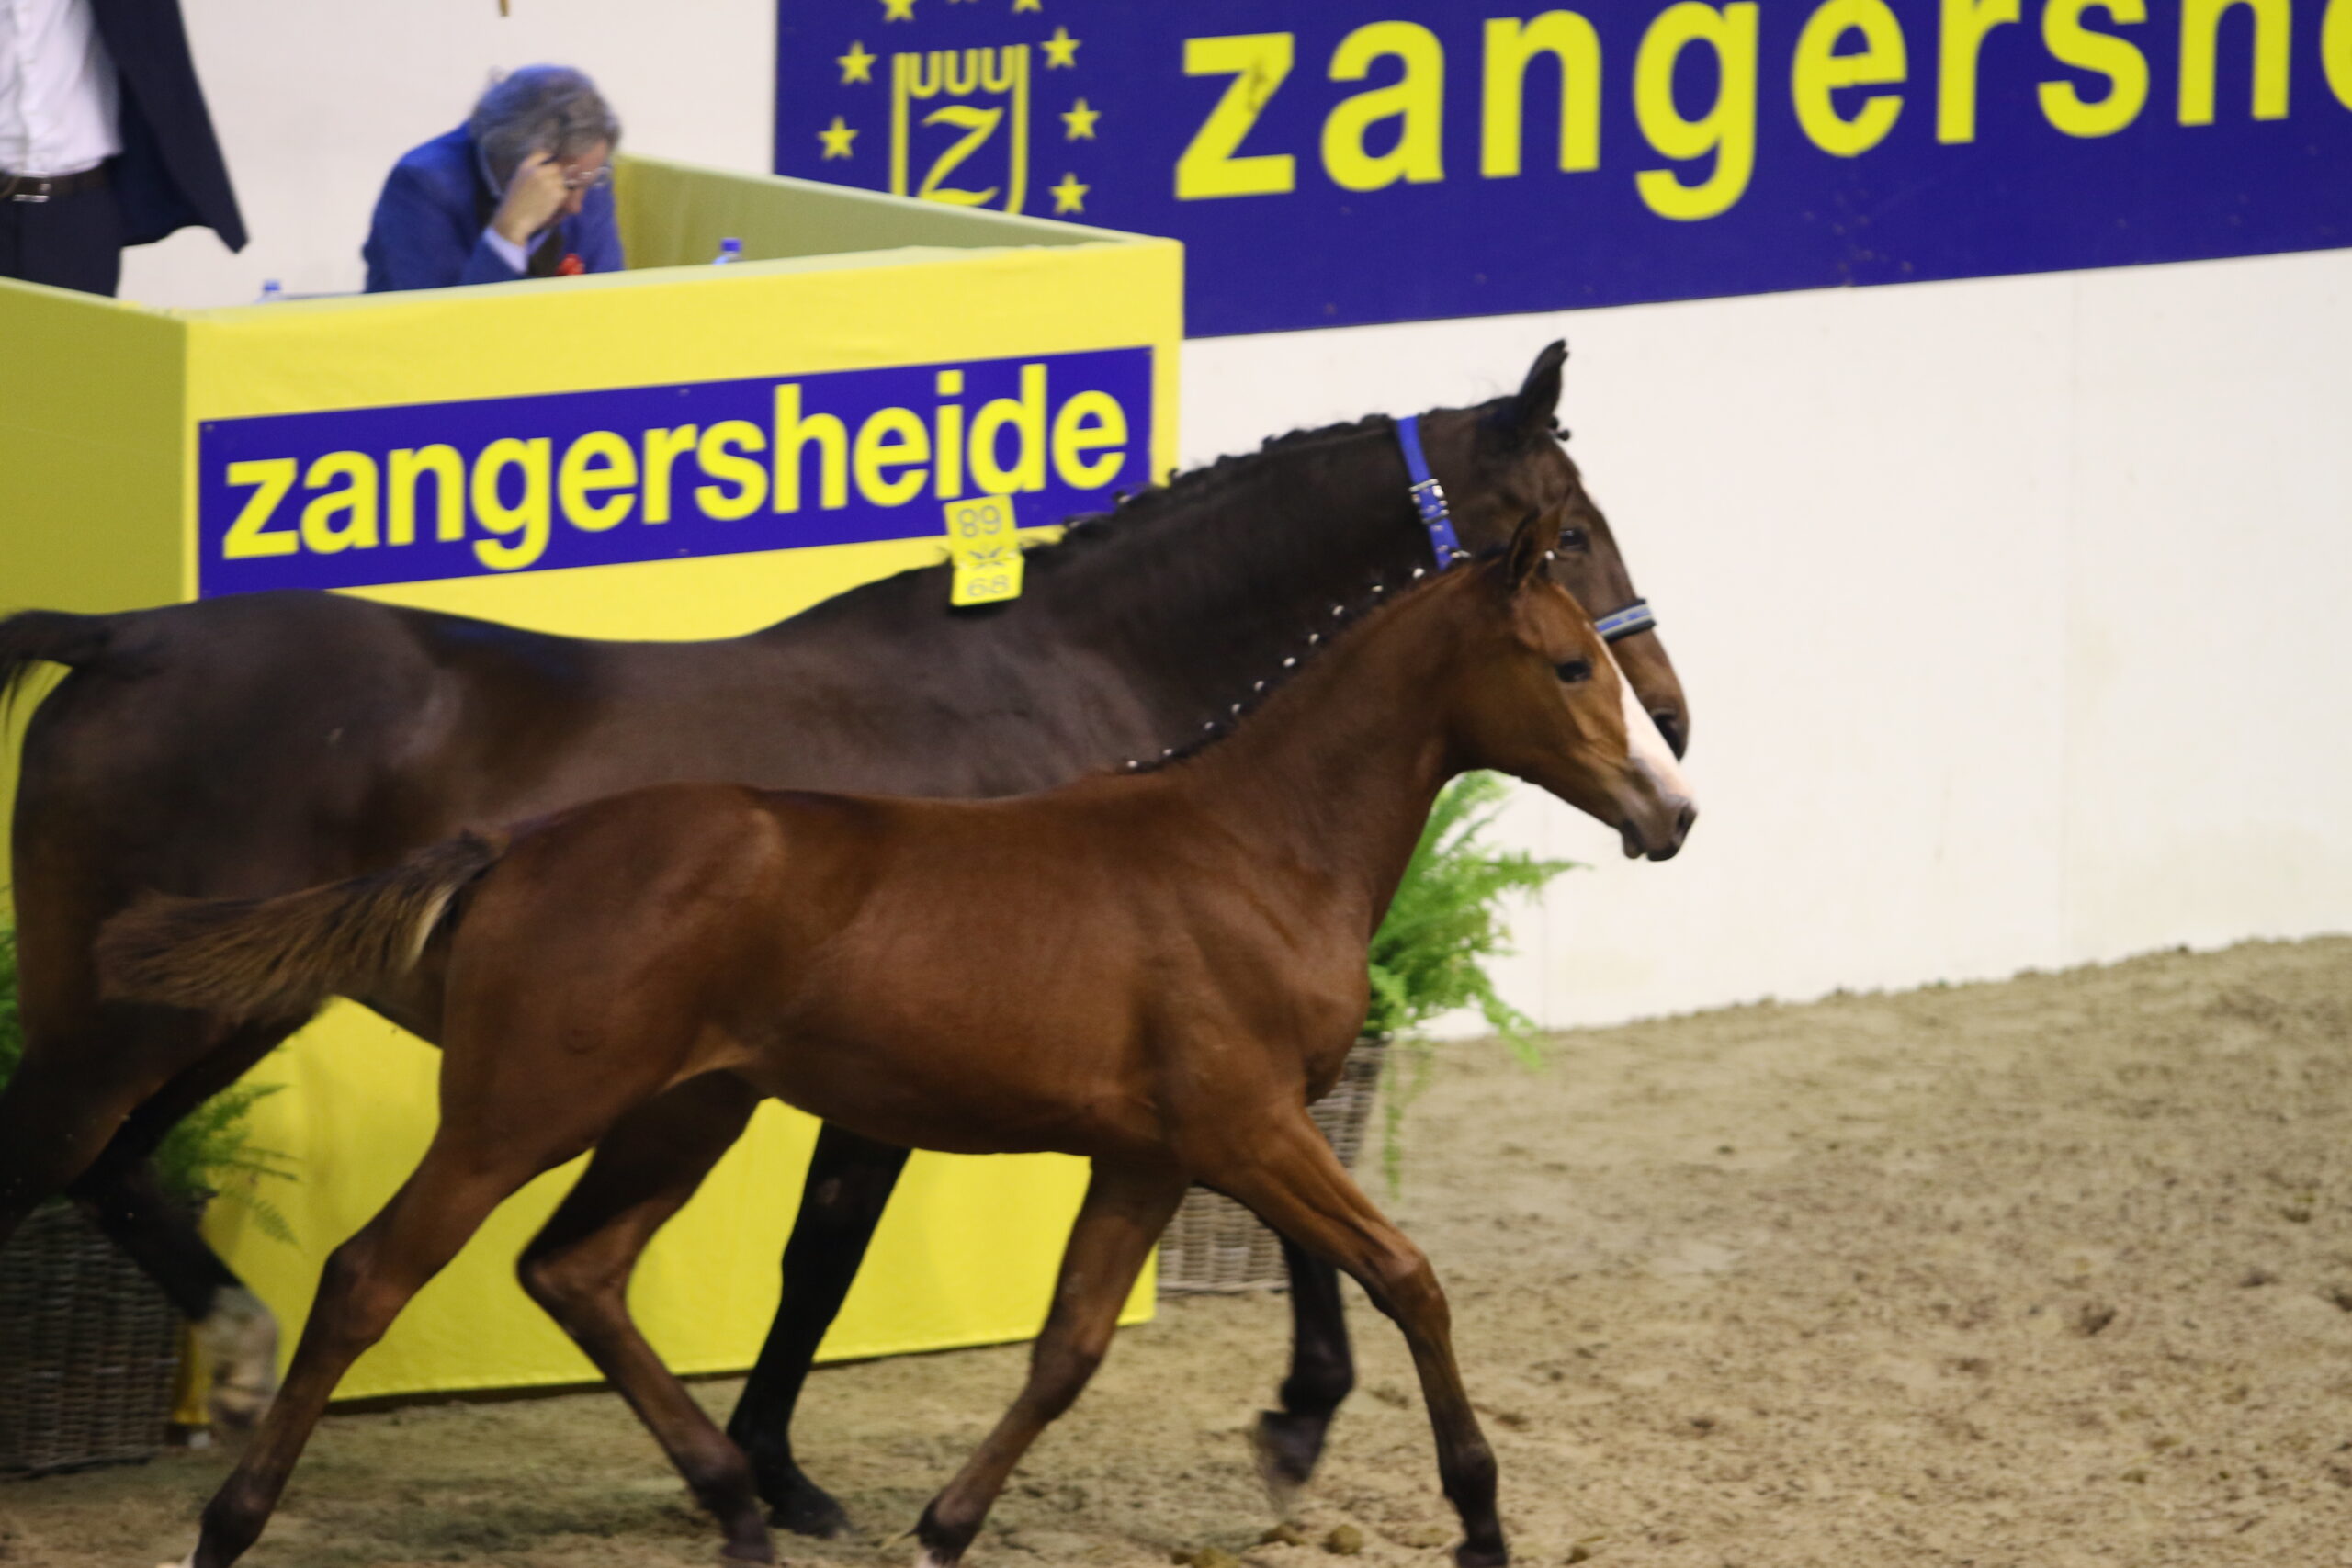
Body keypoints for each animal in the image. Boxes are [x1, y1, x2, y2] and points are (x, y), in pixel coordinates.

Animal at [106, 524, 1693, 1568]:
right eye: (1567, 661)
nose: (1671, 808)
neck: (1252, 845)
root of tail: (516, 844)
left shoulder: (1147, 1153)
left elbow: (1067, 1348)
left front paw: (941, 1526)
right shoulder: (1248, 1127)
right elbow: (1407, 1274)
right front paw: (1479, 1515)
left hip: (683, 1113)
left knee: (575, 1269)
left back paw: (741, 1506)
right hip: (519, 1111)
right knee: (370, 1274)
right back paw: (229, 1526)